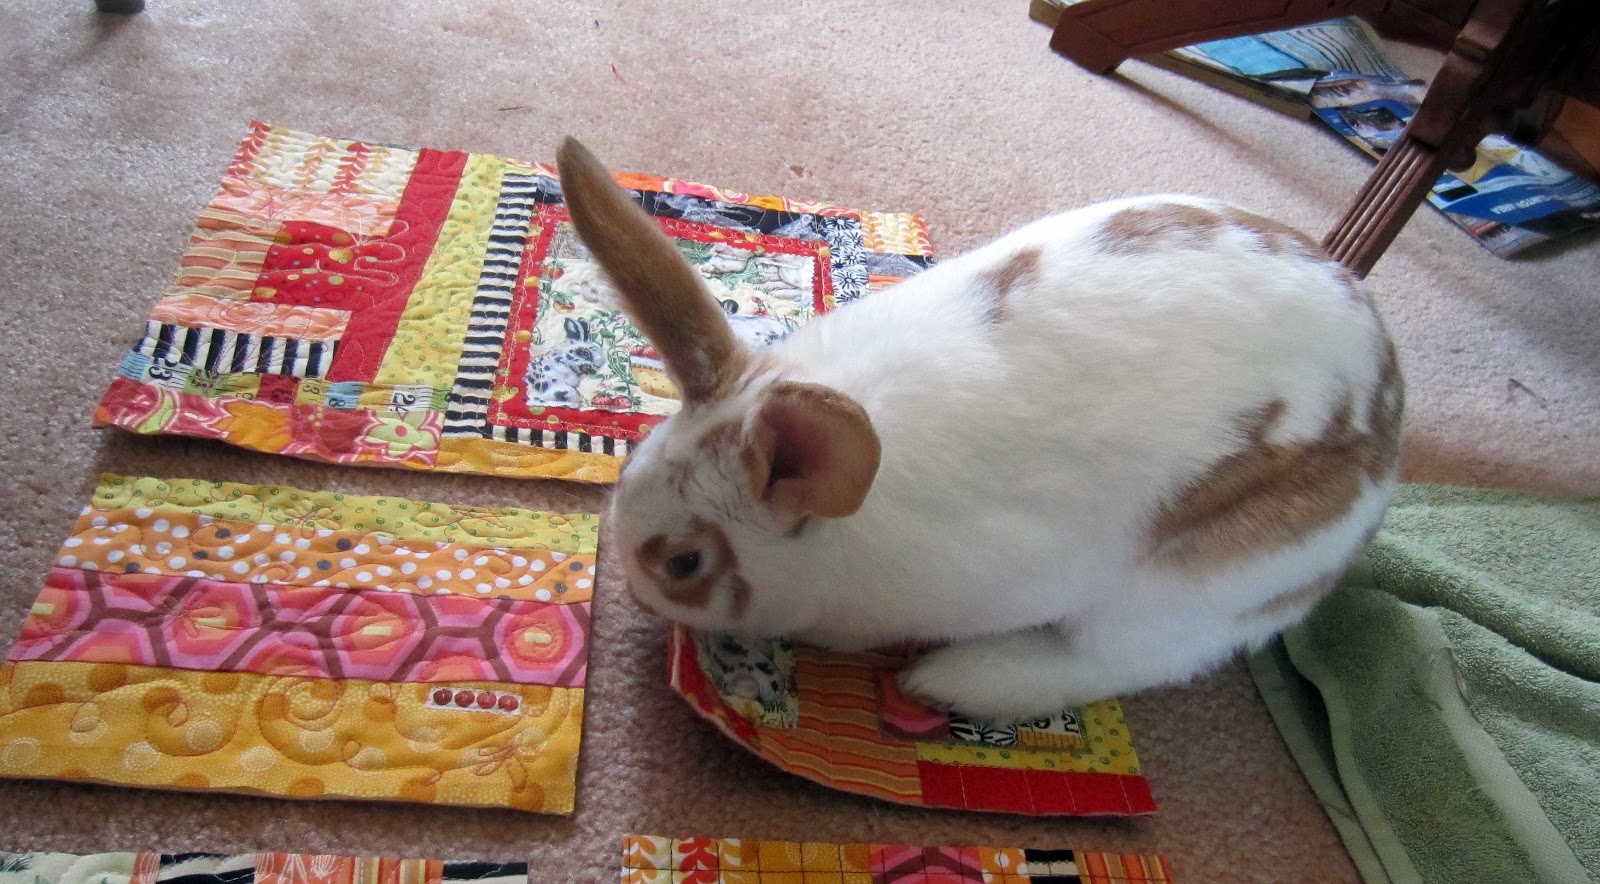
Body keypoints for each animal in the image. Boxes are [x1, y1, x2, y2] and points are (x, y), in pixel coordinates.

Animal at [556, 138, 1403, 721]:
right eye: (627, 472)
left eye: (685, 563)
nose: (633, 594)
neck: (840, 534)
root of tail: (1387, 391)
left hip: (1188, 593)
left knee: (1117, 662)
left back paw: (957, 681)